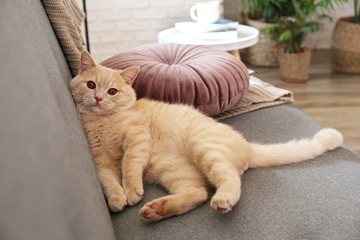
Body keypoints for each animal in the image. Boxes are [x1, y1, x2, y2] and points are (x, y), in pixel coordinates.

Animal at [70, 51, 344, 223]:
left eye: (112, 91)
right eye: (91, 85)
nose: (98, 98)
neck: (104, 121)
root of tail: (248, 146)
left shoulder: (137, 140)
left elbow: (129, 166)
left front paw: (131, 190)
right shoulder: (100, 161)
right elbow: (108, 181)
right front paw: (117, 198)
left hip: (203, 148)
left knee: (228, 179)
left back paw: (222, 200)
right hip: (173, 169)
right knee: (199, 193)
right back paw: (158, 210)